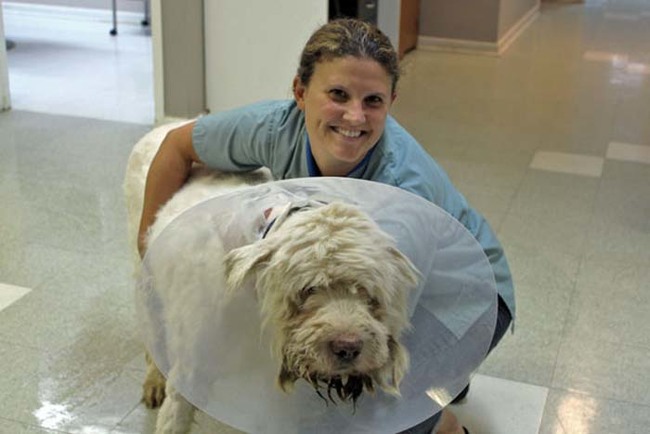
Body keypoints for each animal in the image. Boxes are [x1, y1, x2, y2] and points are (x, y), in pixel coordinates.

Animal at [124, 123, 418, 434]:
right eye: (308, 289)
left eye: (370, 294)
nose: (348, 348)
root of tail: (168, 125)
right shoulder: (190, 373)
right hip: (145, 280)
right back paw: (154, 380)